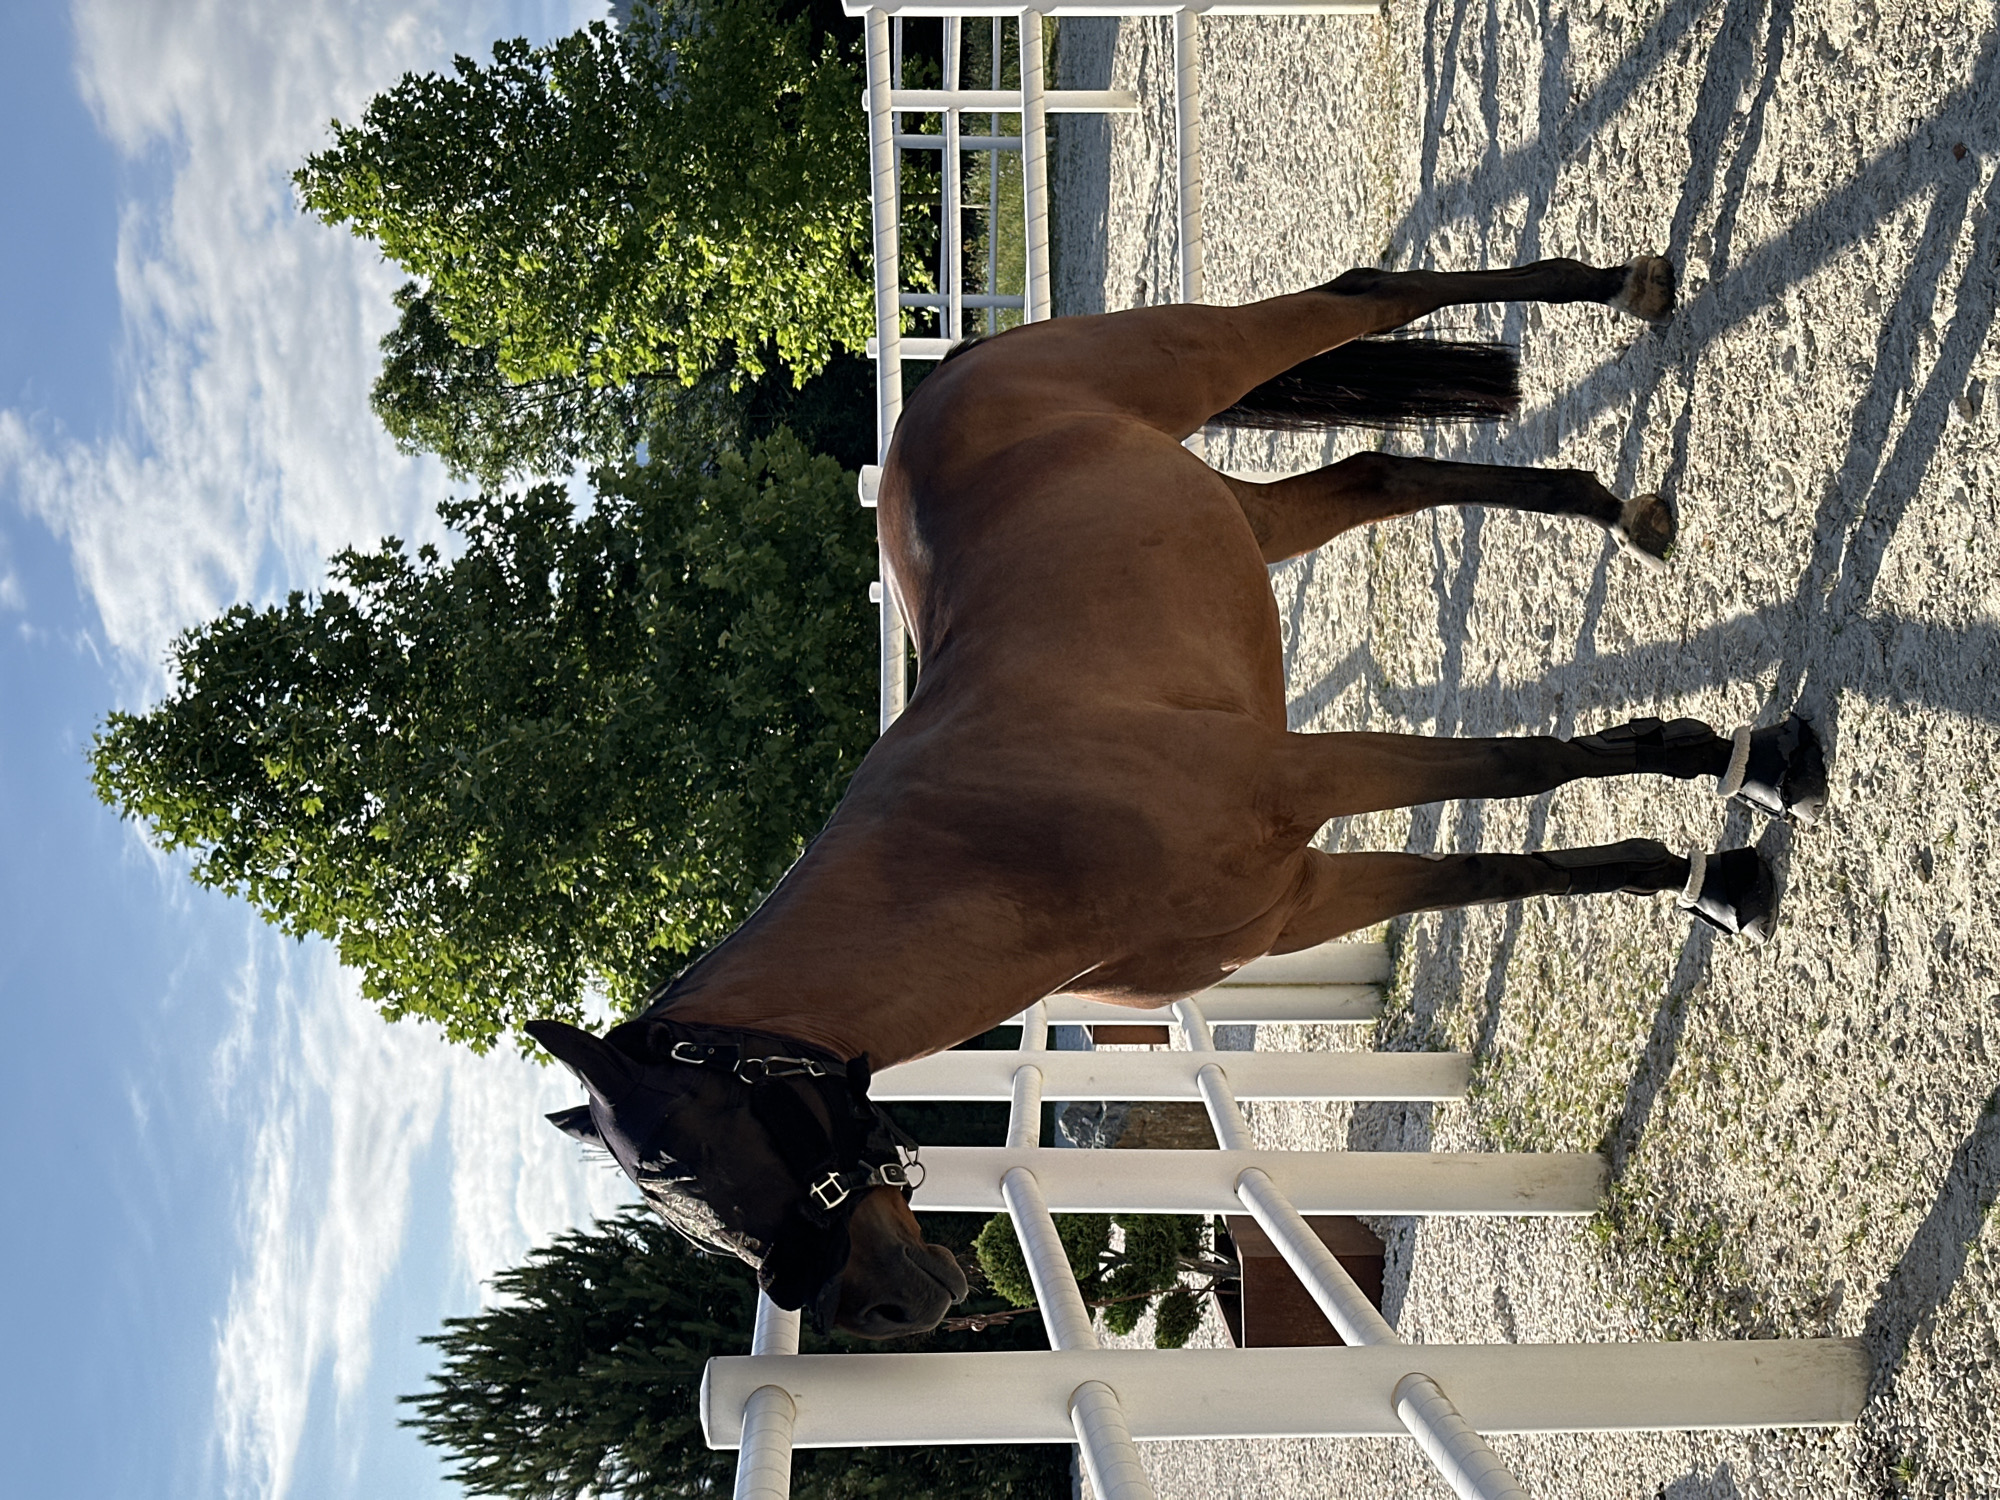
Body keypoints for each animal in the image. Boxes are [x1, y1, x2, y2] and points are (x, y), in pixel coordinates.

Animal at [531, 255, 1827, 1340]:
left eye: (694, 1161)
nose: (879, 1310)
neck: (1014, 850)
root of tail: (950, 377)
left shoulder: (1317, 774)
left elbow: (1526, 771)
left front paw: (1751, 770)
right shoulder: (1304, 898)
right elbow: (1491, 873)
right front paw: (1709, 874)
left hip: (1202, 358)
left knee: (1366, 293)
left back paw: (1625, 291)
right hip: (1244, 516)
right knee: (1377, 469)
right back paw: (1615, 505)